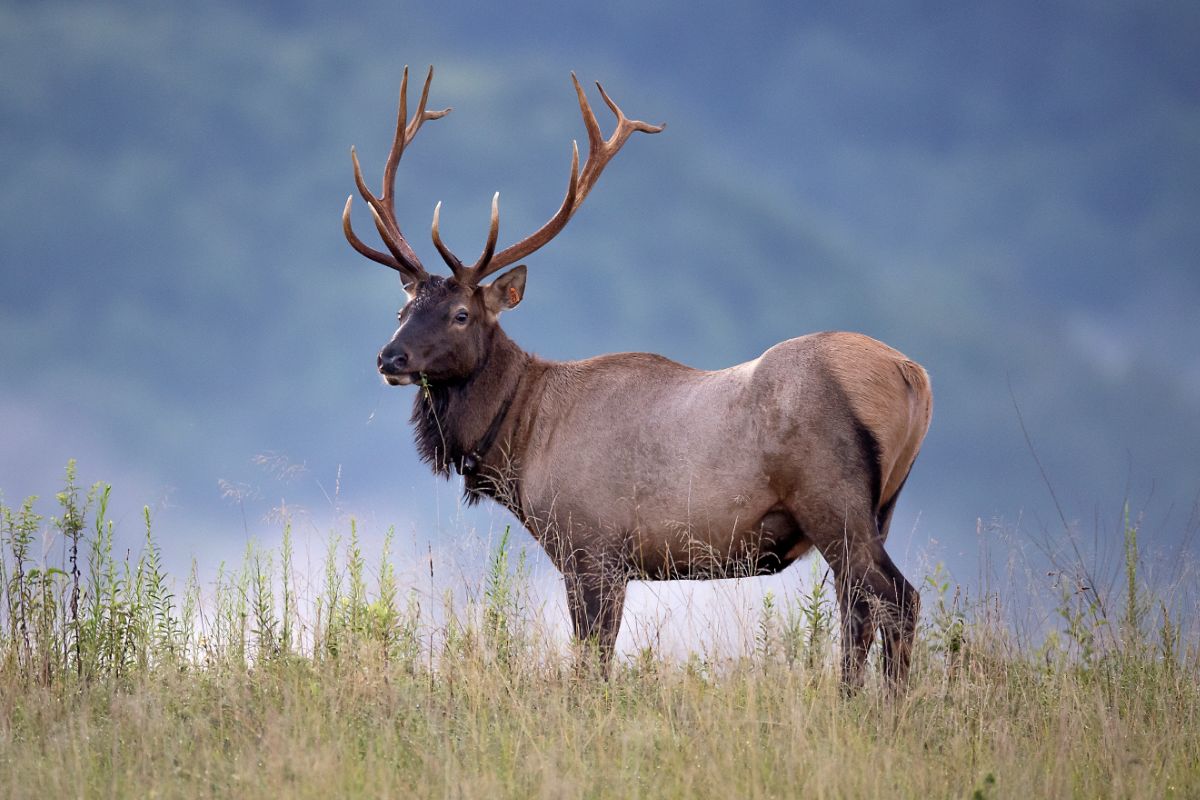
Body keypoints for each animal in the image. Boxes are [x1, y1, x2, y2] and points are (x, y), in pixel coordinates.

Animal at [343, 67, 931, 690]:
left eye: (460, 314)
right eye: (402, 309)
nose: (389, 358)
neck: (521, 441)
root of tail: (912, 374)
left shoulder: (593, 547)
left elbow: (593, 661)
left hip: (832, 497)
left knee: (896, 599)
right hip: (878, 508)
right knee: (859, 607)